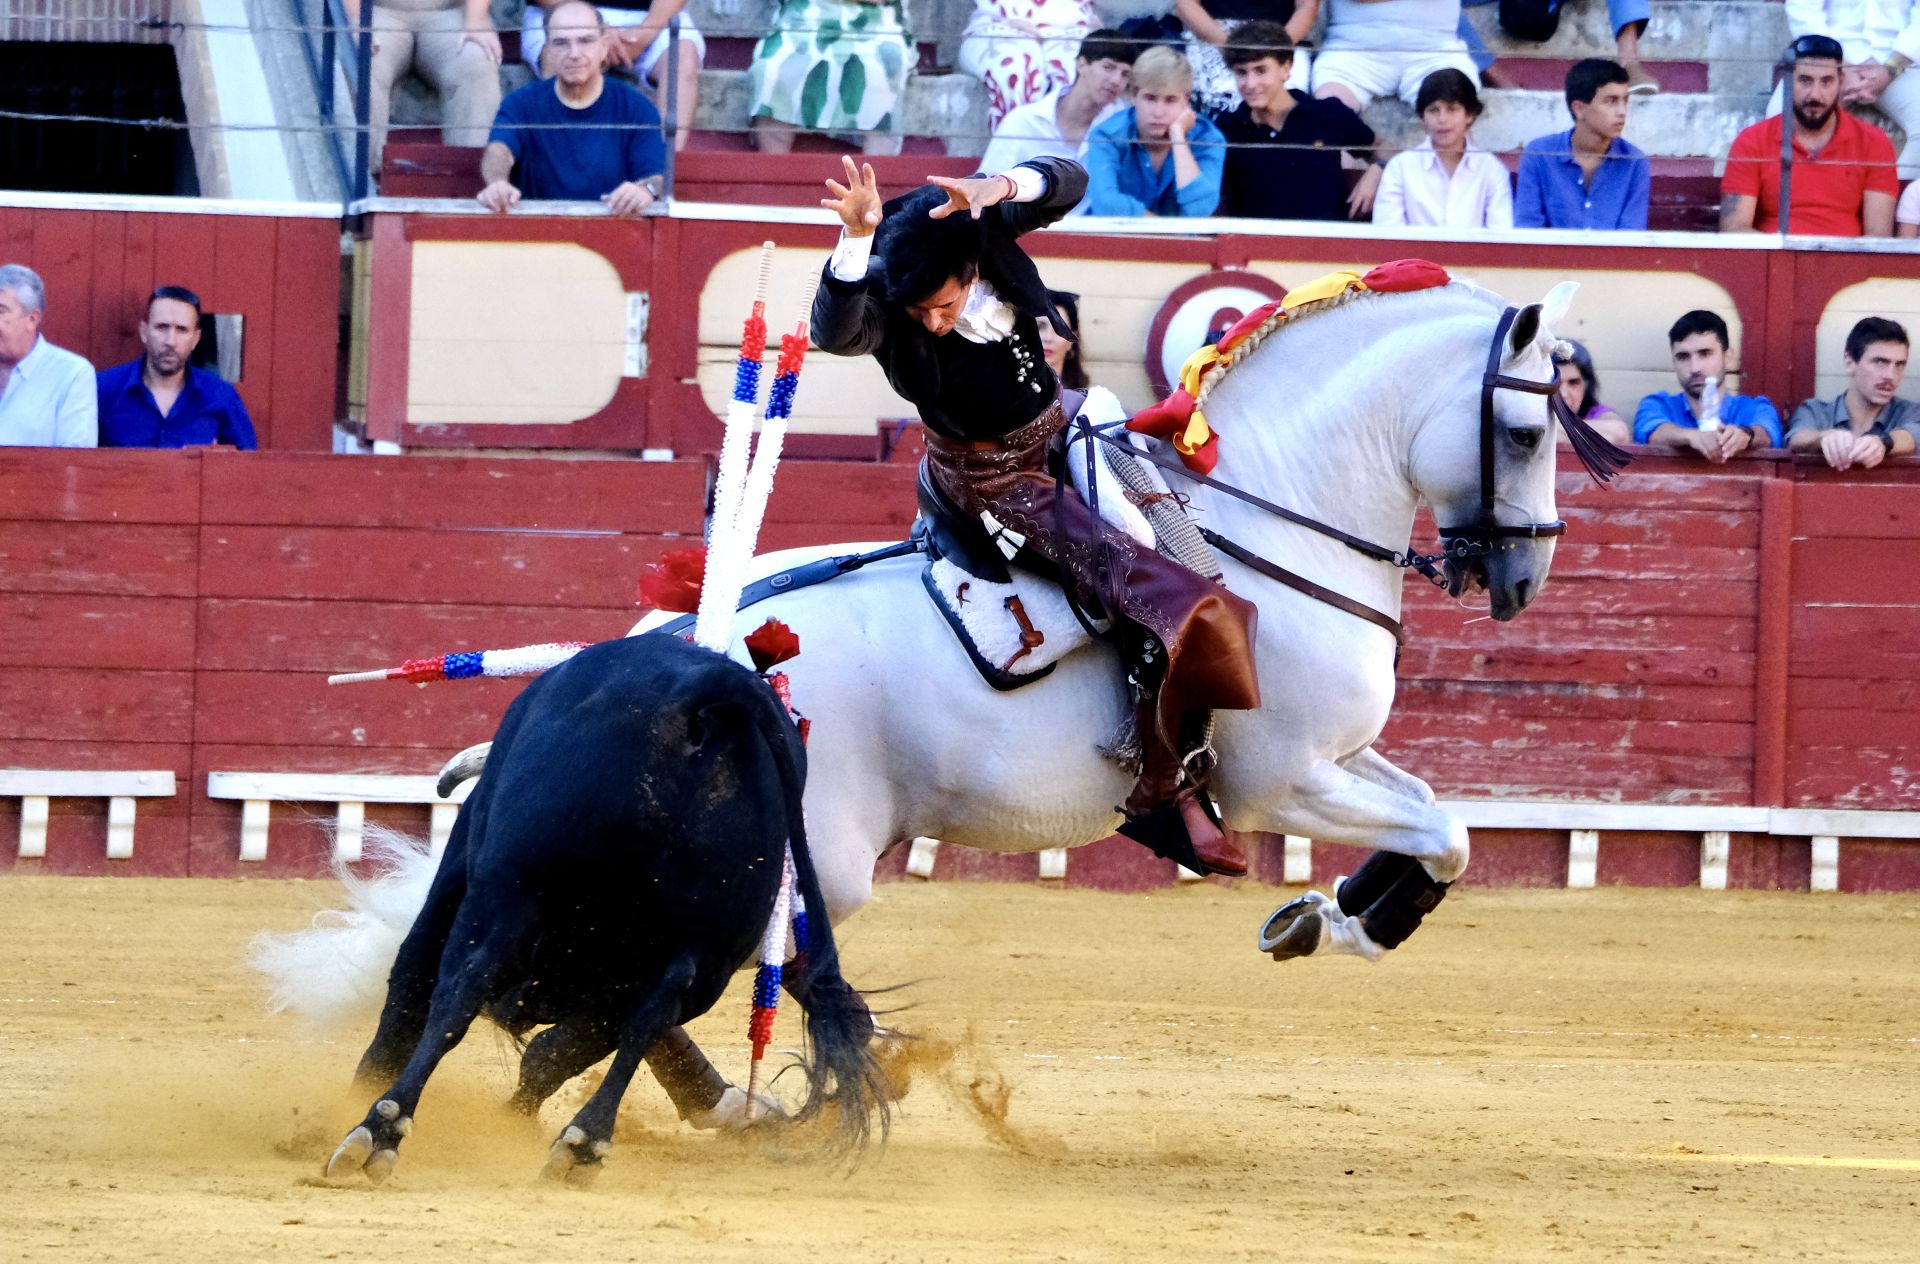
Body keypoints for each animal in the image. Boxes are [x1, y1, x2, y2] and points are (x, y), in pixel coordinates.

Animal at [270, 278, 1589, 1121]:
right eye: (1529, 429)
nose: (1524, 577)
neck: (1257, 522)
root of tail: (673, 648)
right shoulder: (1283, 777)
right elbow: (1451, 829)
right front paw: (1343, 918)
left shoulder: (1336, 760)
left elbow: (1446, 821)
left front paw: (1332, 909)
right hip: (816, 857)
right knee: (710, 967)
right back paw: (677, 1089)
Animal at [328, 630, 890, 1183]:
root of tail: (711, 687)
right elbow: (563, 1051)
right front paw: (515, 1125)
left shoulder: (455, 885)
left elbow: (411, 992)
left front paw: (363, 1094)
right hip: (709, 952)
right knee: (653, 1012)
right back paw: (583, 1143)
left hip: (513, 888)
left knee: (461, 986)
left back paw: (376, 1131)